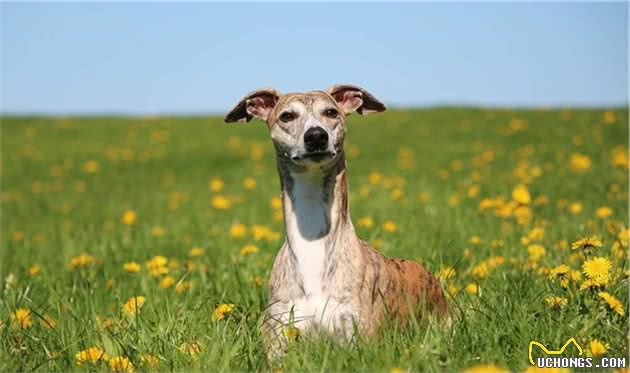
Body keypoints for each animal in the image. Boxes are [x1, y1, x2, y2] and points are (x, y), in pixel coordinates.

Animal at [225, 84, 446, 358]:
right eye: (287, 116)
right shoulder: (277, 343)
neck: (312, 244)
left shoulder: (357, 340)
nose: (316, 136)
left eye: (331, 112)